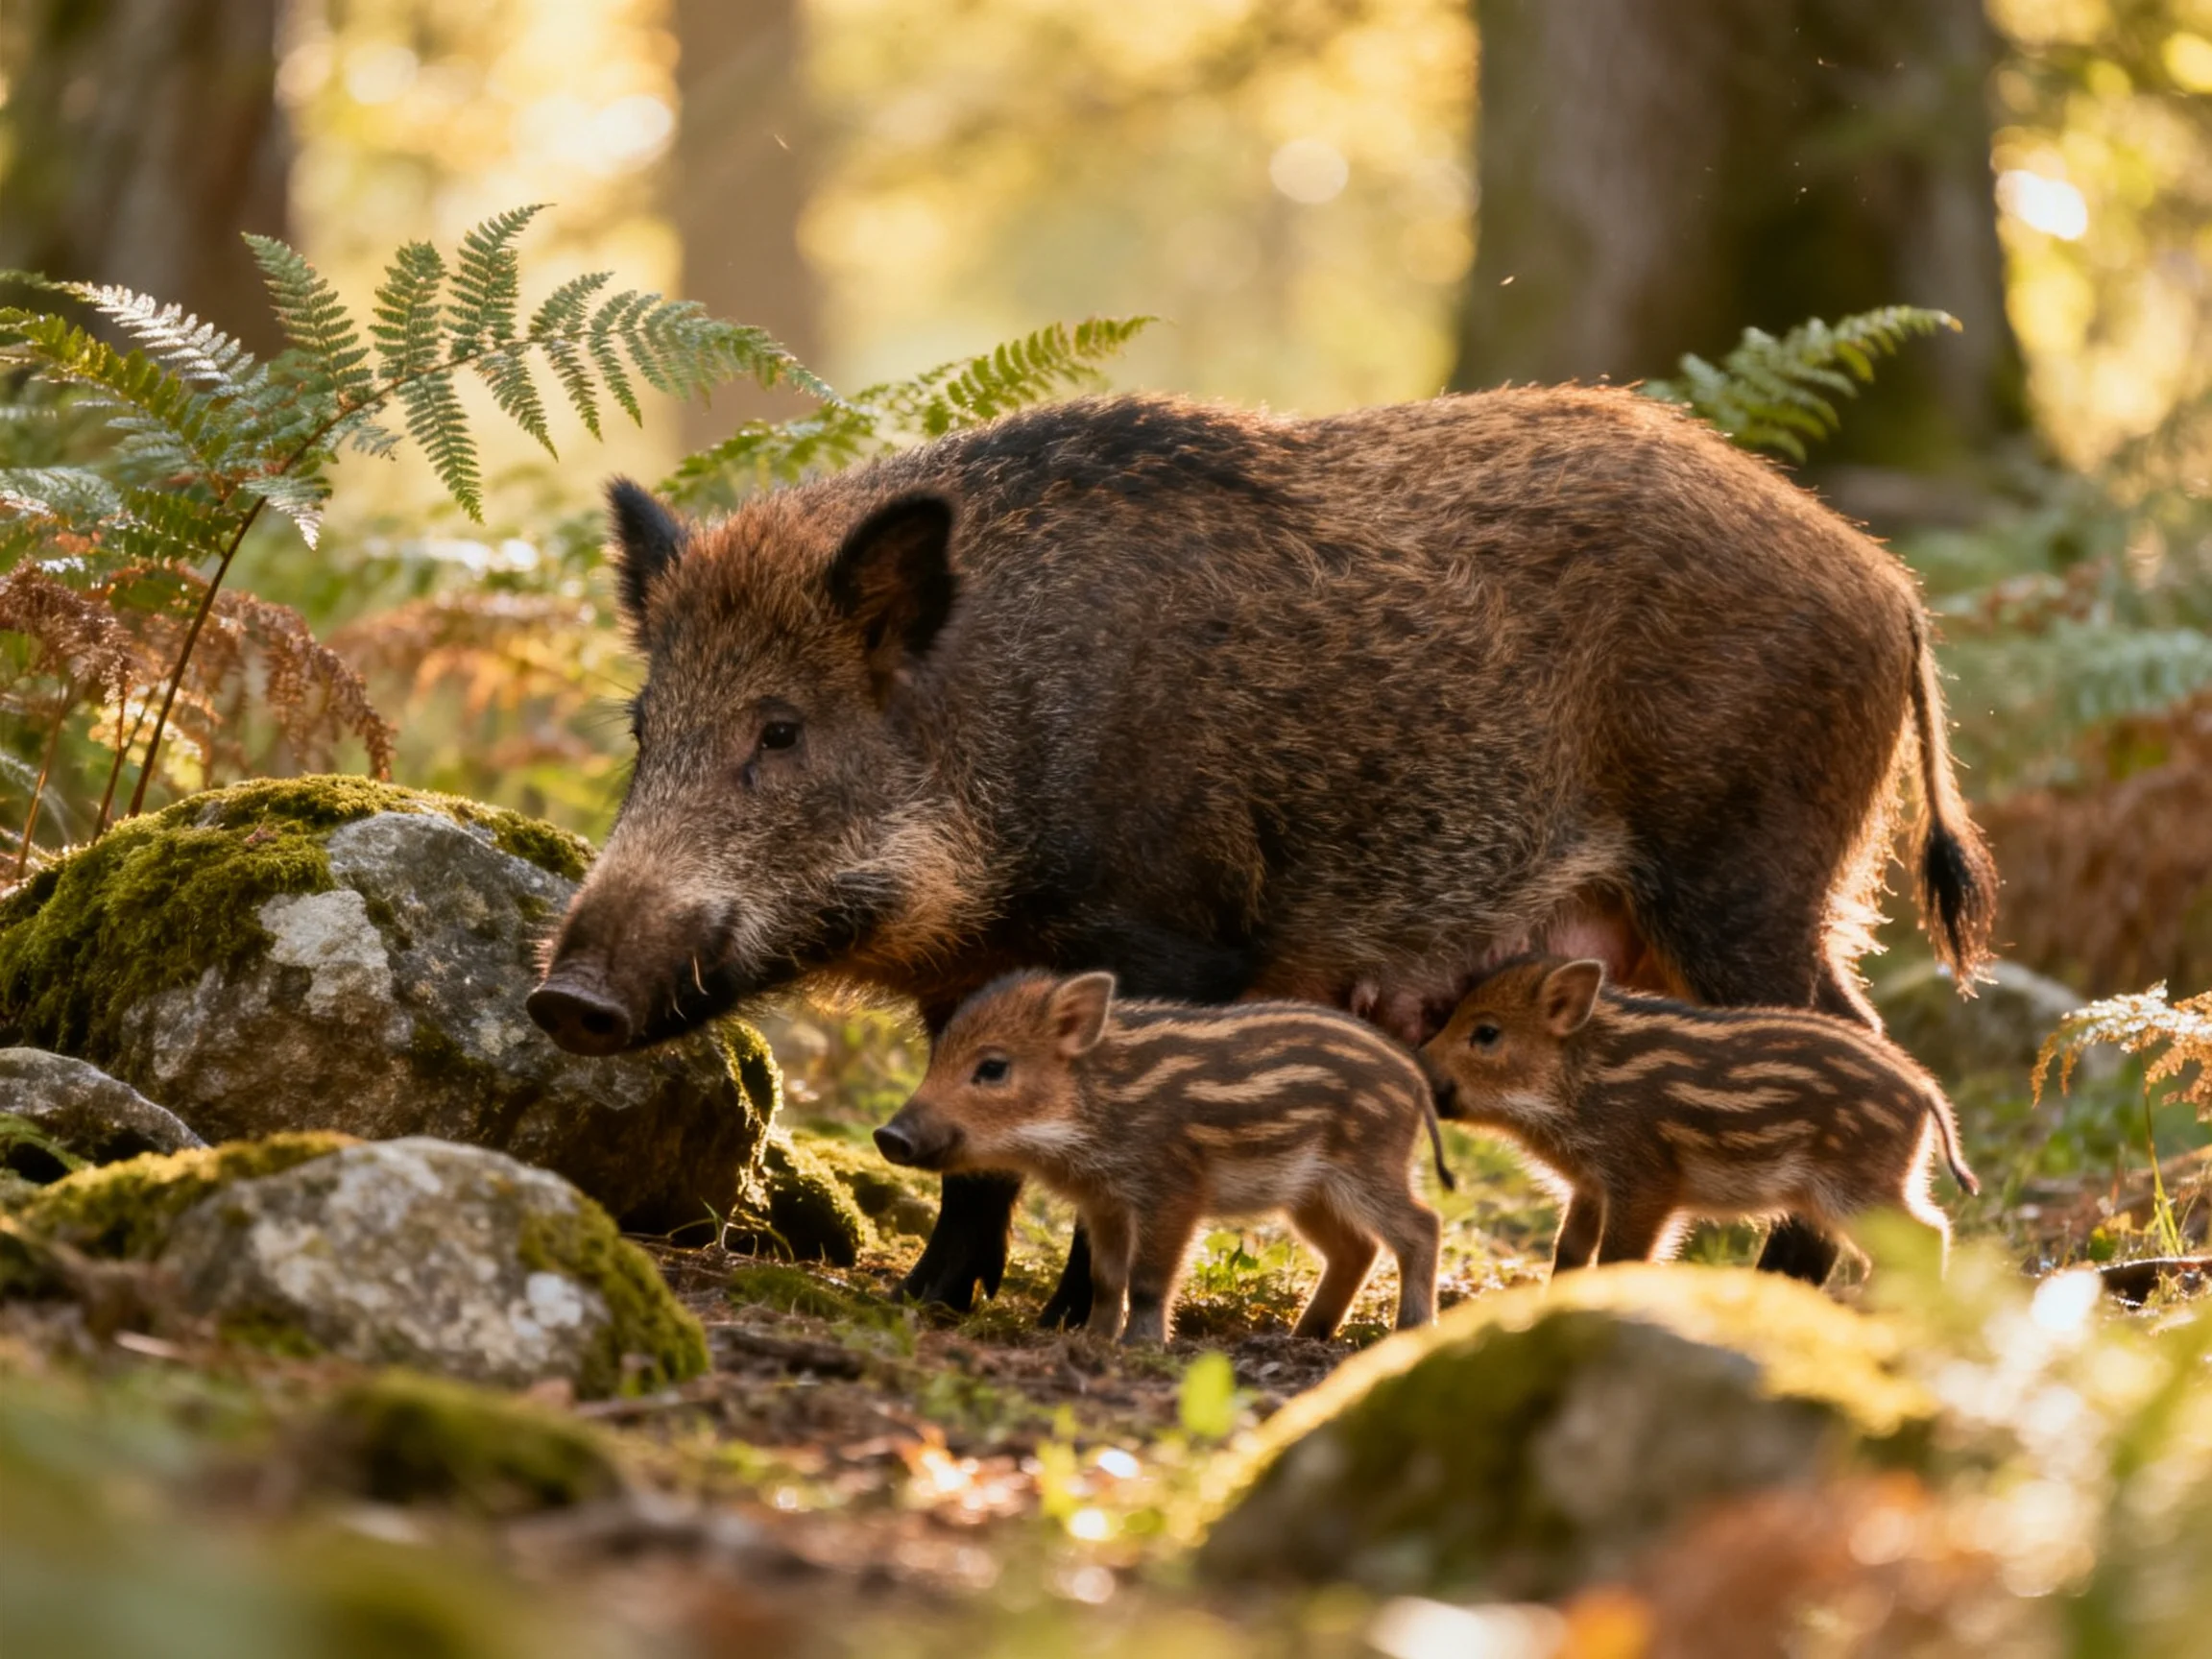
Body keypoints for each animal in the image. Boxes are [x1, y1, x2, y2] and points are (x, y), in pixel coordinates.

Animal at [874, 971, 1453, 1342]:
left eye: (993, 1068)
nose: (888, 1136)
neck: (1098, 1105)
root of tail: (1414, 1082)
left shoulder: (1174, 1189)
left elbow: (1149, 1277)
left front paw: (1142, 1346)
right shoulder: (1103, 1202)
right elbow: (1106, 1277)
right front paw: (1092, 1342)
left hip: (1367, 1166)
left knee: (1422, 1225)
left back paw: (1412, 1328)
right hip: (1309, 1193)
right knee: (1356, 1249)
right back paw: (1304, 1334)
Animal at [1421, 956, 1981, 1279]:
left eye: (1486, 1033)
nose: (1416, 1062)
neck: (1586, 1083)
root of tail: (1924, 1090)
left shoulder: (1645, 1182)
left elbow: (1620, 1257)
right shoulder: (1590, 1185)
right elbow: (1570, 1252)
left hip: (1861, 1188)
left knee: (1929, 1233)